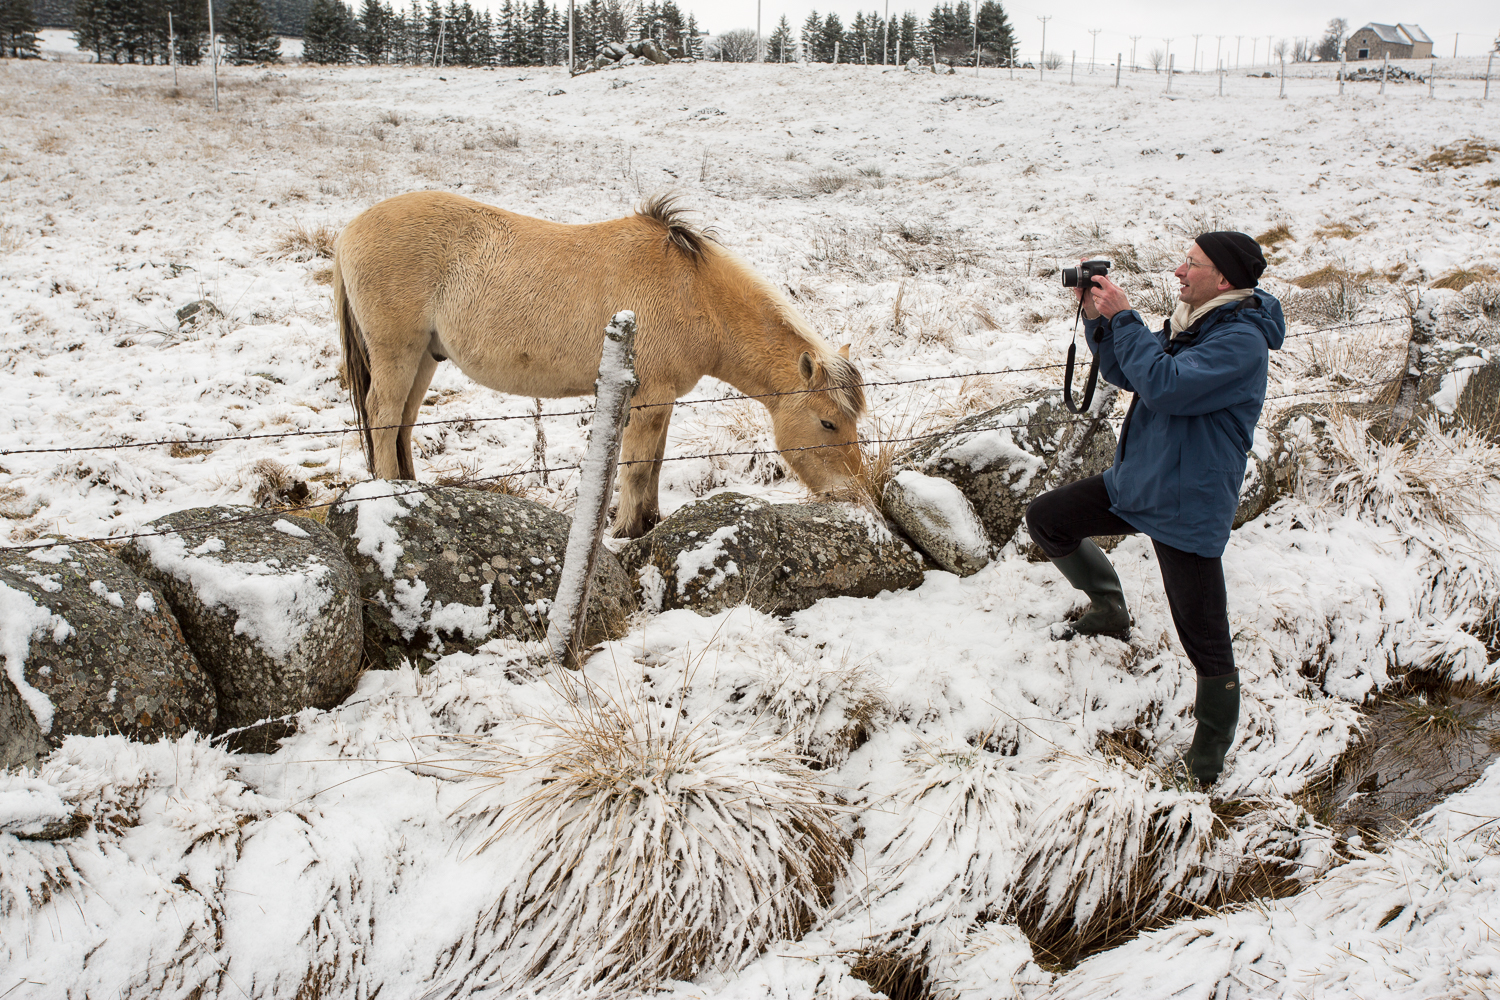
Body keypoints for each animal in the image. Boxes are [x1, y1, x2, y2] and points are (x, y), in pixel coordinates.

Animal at [333, 193, 864, 539]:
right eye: (827, 422)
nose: (853, 494)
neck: (694, 294)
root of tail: (350, 229)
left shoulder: (661, 401)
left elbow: (654, 464)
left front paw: (649, 521)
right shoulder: (649, 400)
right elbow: (635, 467)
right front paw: (626, 529)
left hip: (425, 356)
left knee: (402, 422)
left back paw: (408, 486)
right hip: (397, 352)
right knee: (383, 417)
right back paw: (389, 494)